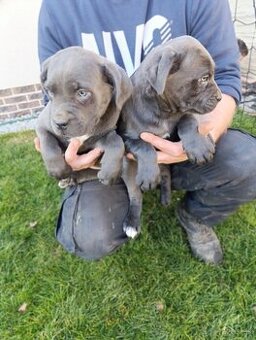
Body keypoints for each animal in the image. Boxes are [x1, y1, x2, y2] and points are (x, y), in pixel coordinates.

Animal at [36, 45, 132, 186]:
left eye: (82, 93)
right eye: (50, 92)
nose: (60, 123)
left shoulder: (101, 135)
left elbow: (116, 142)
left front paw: (110, 172)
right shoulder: (42, 125)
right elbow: (47, 143)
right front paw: (58, 170)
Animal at [119, 35, 222, 238]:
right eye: (204, 78)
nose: (220, 97)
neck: (165, 112)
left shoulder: (181, 119)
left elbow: (188, 121)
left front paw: (199, 147)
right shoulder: (127, 139)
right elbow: (144, 146)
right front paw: (149, 175)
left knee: (166, 173)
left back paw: (165, 197)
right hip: (128, 167)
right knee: (135, 194)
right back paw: (132, 223)